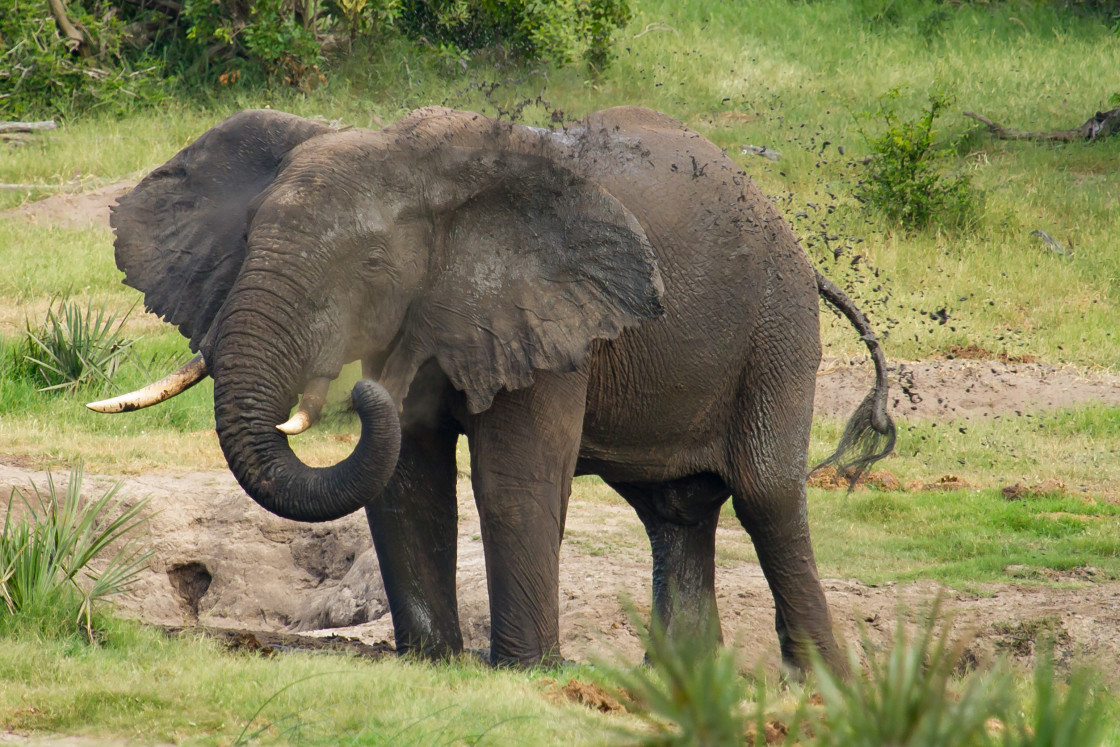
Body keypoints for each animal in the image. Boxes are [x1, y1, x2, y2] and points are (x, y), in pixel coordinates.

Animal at [91, 105, 896, 671]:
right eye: (247, 240)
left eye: (374, 267)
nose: (354, 392)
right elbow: (406, 477)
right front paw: (431, 662)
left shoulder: (552, 316)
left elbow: (513, 479)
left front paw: (527, 671)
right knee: (675, 512)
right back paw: (683, 685)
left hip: (778, 329)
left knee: (766, 496)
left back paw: (819, 688)